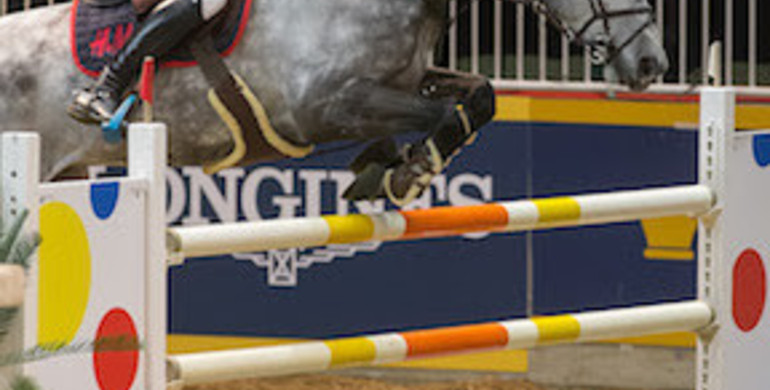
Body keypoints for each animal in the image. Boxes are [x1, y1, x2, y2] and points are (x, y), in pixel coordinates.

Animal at [0, 0, 664, 206]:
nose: (652, 65)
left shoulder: (410, 78)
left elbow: (479, 97)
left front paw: (385, 168)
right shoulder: (324, 106)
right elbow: (444, 116)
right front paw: (405, 173)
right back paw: (98, 99)